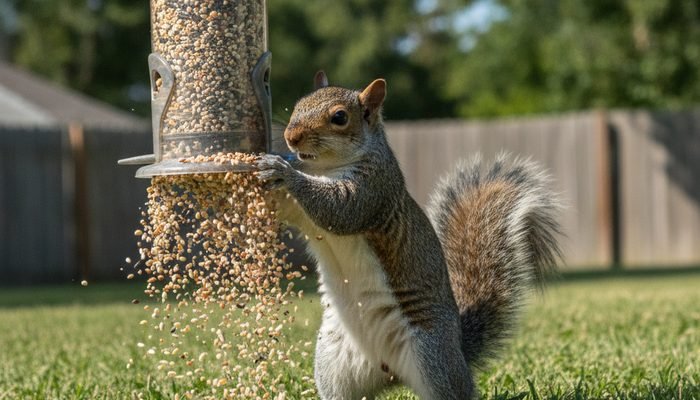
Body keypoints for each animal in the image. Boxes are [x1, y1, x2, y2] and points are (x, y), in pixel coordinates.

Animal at [256, 71, 562, 400]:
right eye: (298, 104)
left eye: (339, 117)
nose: (291, 137)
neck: (322, 167)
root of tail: (389, 372)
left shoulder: (375, 189)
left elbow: (340, 209)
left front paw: (284, 171)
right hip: (334, 363)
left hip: (433, 358)